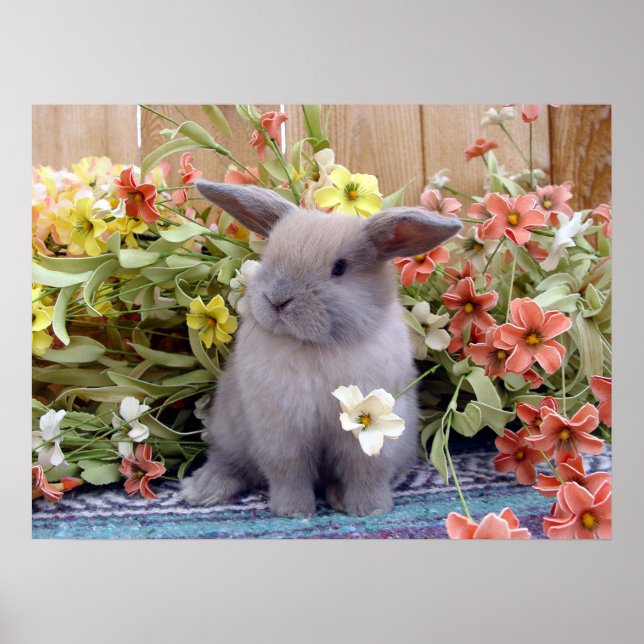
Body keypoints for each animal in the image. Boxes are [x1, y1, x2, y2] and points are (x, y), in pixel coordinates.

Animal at [180, 181, 462, 517]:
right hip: (229, 433)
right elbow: (289, 472)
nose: (278, 300)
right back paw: (202, 489)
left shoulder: (368, 434)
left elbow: (365, 471)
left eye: (339, 268)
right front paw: (293, 512)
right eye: (270, 255)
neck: (314, 345)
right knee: (230, 463)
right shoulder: (281, 431)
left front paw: (370, 509)